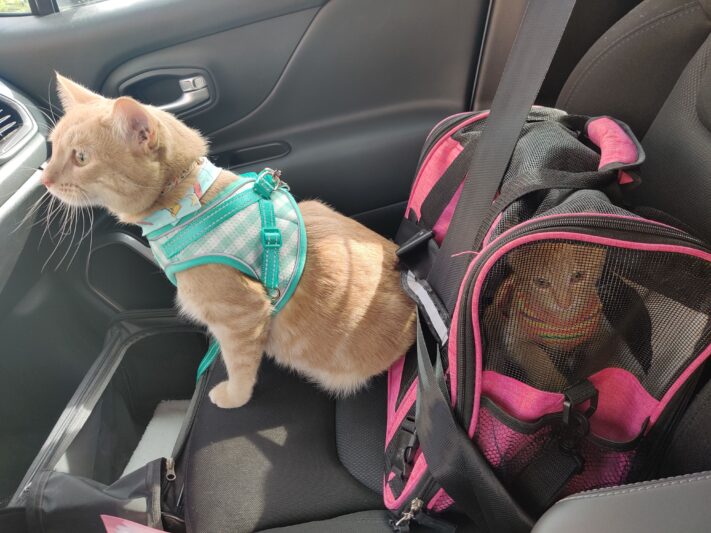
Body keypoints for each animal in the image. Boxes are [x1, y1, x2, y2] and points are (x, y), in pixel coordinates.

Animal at [43, 74, 418, 408]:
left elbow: (239, 366)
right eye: (52, 147)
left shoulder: (241, 317)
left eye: (80, 157)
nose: (43, 177)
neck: (187, 201)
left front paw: (233, 397)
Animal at [484, 243, 608, 388]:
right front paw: (557, 387)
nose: (564, 304)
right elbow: (539, 361)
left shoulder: (600, 329)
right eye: (541, 282)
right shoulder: (514, 338)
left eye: (578, 276)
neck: (561, 321)